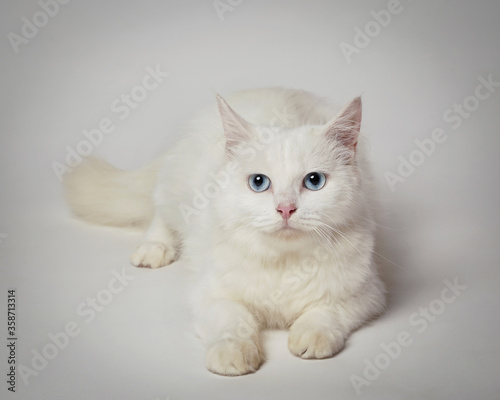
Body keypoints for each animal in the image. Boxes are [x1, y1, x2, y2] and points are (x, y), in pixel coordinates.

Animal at [63, 86, 386, 376]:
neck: (283, 261)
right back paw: (155, 249)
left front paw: (309, 337)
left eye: (314, 181)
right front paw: (233, 356)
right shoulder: (212, 295)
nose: (285, 209)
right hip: (175, 195)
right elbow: (234, 321)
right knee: (160, 215)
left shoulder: (365, 294)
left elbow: (325, 313)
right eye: (259, 182)